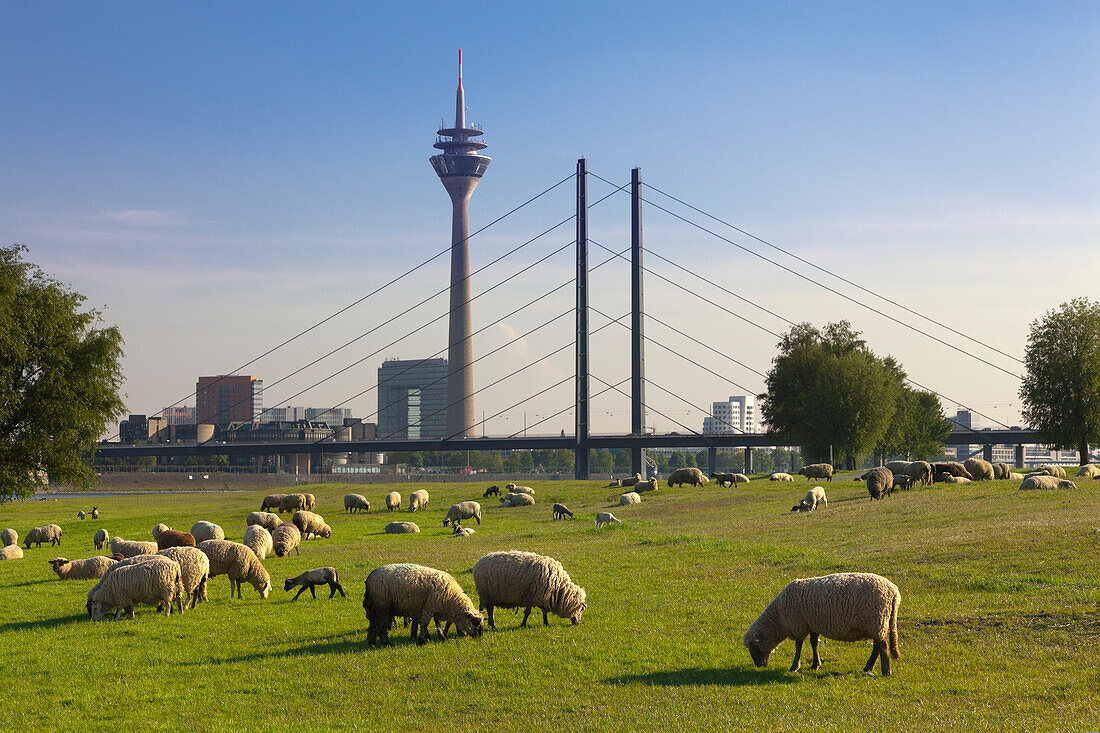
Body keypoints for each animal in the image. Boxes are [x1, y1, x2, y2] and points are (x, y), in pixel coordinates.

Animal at [739, 572, 902, 673]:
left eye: (754, 647)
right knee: (877, 647)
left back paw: (886, 671)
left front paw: (794, 666)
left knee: (883, 646)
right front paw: (815, 664)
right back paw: (868, 667)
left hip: (876, 620)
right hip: (877, 623)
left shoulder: (799, 624)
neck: (779, 618)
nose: (759, 666)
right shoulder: (811, 624)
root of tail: (894, 592)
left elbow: (798, 645)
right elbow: (813, 643)